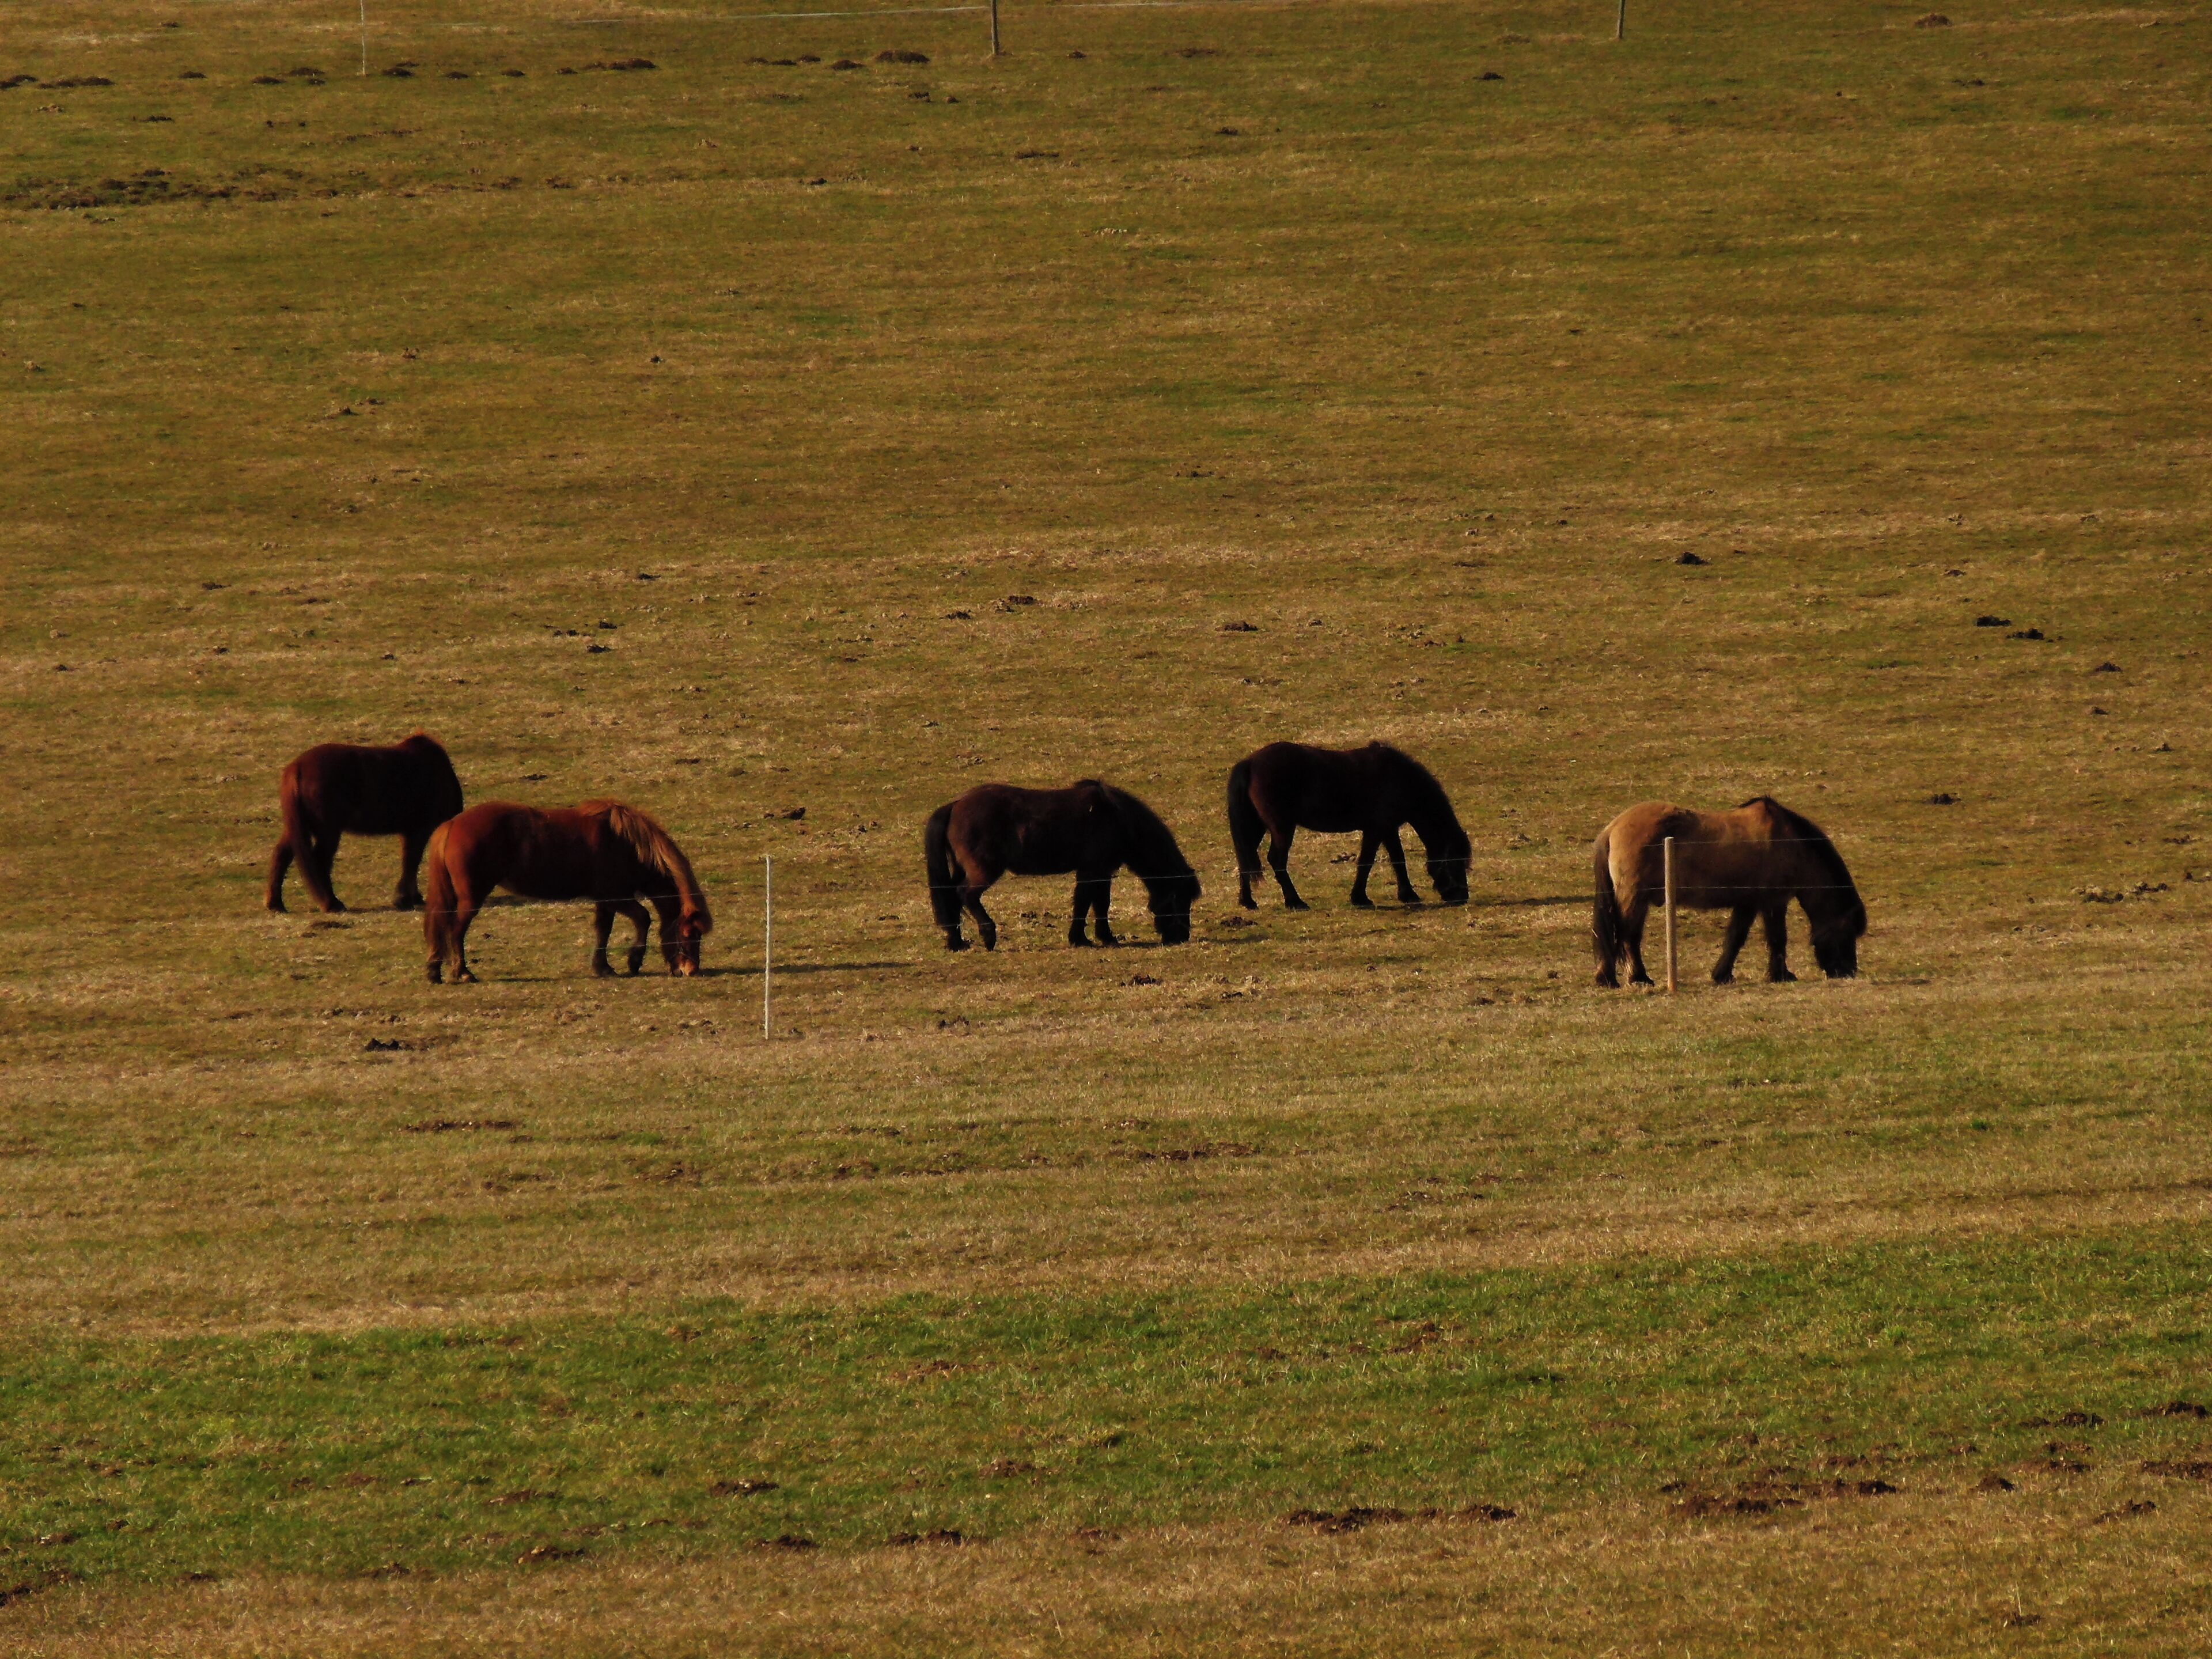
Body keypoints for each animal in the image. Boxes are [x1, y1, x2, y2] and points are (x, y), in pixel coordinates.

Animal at [264, 732, 464, 914]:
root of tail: (297, 768)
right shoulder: (419, 829)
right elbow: (411, 861)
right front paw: (404, 899)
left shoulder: (411, 831)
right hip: (328, 831)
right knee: (320, 862)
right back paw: (332, 904)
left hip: (300, 828)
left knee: (281, 855)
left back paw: (276, 904)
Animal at [422, 800, 712, 984]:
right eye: (689, 934)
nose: (691, 970)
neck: (625, 843)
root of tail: (451, 825)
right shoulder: (616, 896)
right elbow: (643, 918)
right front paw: (634, 961)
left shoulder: (605, 900)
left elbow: (603, 930)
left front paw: (603, 967)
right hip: (472, 897)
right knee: (455, 931)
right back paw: (462, 973)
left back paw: (435, 971)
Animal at [923, 780, 1201, 951]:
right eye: (1179, 898)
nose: (1180, 937)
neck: (1118, 817)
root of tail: (955, 805)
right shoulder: (1094, 870)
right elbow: (1089, 903)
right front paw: (1091, 939)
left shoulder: (1099, 872)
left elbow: (1094, 903)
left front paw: (1092, 938)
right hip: (984, 871)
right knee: (966, 895)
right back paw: (989, 936)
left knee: (952, 898)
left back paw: (957, 942)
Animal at [1226, 741, 1471, 910]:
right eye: (1456, 862)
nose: (1461, 897)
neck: (1400, 778)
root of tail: (1250, 763)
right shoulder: (1376, 830)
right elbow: (1366, 862)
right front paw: (1360, 898)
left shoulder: (1388, 829)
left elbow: (1398, 860)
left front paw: (1408, 895)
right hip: (1282, 828)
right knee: (1277, 861)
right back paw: (1295, 902)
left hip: (1257, 827)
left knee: (1246, 859)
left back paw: (1248, 902)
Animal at [1591, 797, 1866, 988]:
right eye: (1848, 931)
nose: (1848, 972)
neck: (1790, 844)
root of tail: (1613, 828)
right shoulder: (1774, 902)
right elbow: (1778, 938)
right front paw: (1781, 975)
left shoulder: (1748, 903)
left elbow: (1736, 938)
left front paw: (1722, 974)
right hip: (1635, 899)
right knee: (1629, 937)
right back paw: (1639, 978)